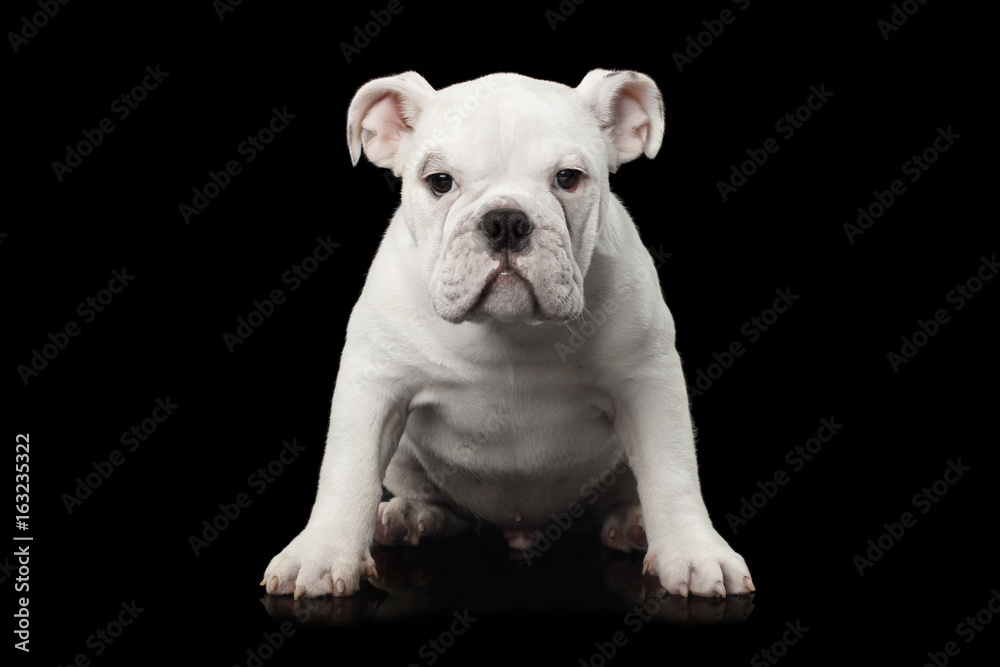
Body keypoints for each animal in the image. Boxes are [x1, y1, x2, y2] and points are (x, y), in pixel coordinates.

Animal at [262, 69, 752, 600]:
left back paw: (633, 523)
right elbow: (347, 469)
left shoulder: (647, 382)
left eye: (568, 179)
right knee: (433, 500)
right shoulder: (374, 383)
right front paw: (320, 552)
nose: (506, 220)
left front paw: (694, 552)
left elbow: (672, 471)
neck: (508, 329)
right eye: (440, 182)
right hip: (407, 459)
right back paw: (410, 516)